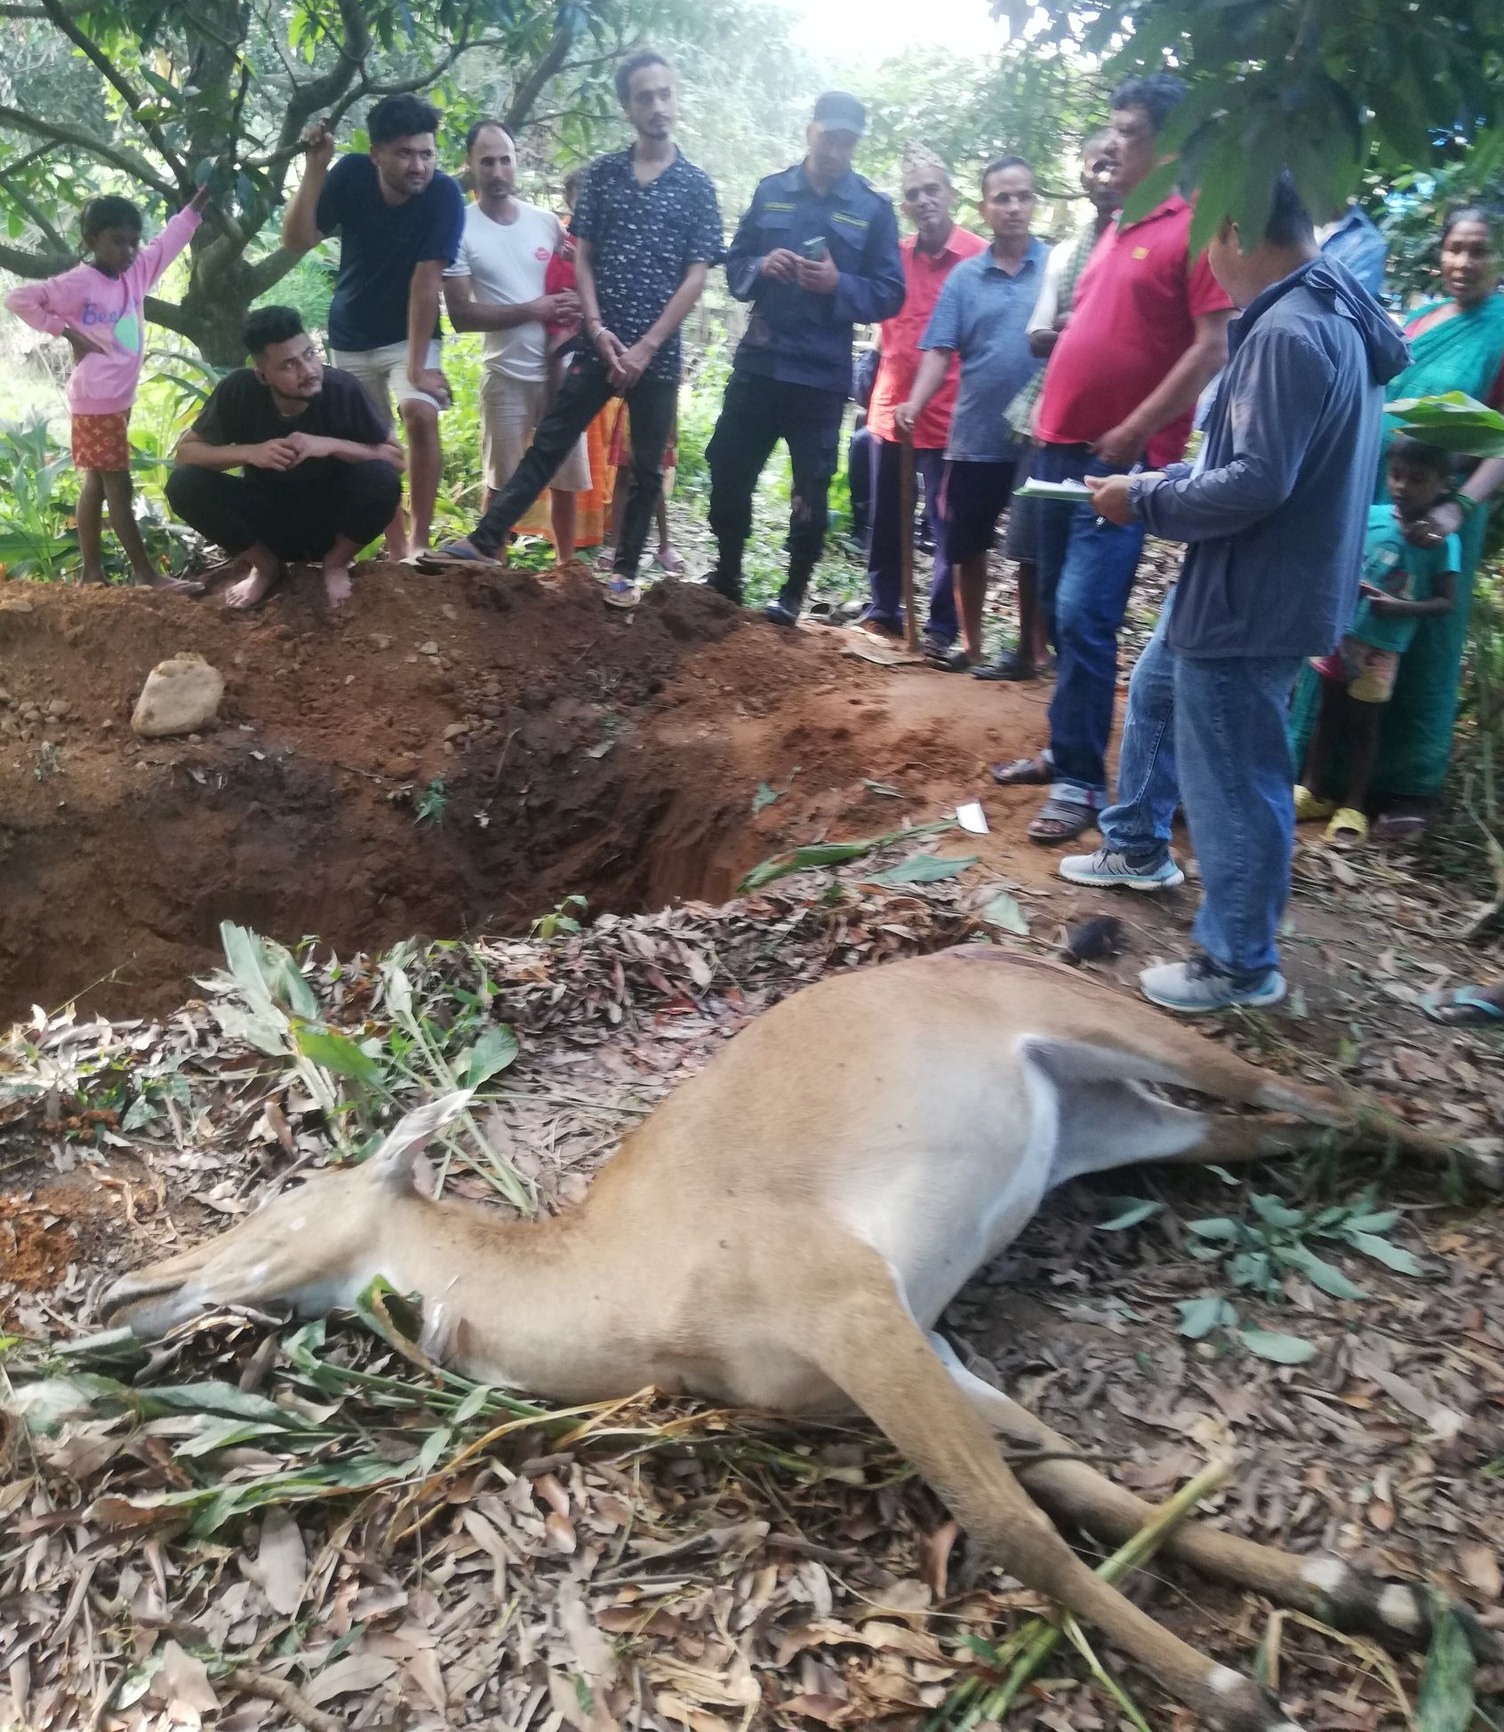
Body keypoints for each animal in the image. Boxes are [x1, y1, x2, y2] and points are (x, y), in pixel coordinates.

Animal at [102, 949, 1490, 1732]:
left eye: (281, 1202)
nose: (126, 1290)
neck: (618, 1287)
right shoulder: (917, 1347)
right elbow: (1079, 1482)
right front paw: (1364, 1593)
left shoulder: (853, 1303)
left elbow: (1013, 1527)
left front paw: (1238, 1692)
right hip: (1115, 1124)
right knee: (1279, 1131)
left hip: (1132, 1034)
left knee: (1311, 1091)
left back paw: (1471, 1153)